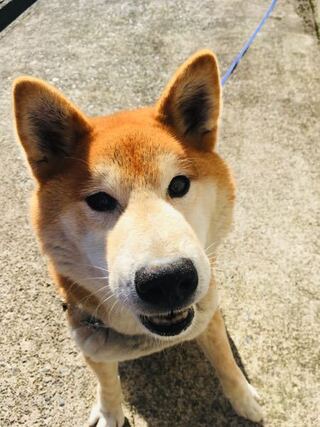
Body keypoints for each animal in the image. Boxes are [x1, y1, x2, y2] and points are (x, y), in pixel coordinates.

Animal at [12, 51, 262, 427]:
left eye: (179, 184)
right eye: (100, 200)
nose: (167, 280)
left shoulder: (209, 314)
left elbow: (226, 361)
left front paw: (243, 398)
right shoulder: (91, 342)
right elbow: (108, 383)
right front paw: (110, 412)